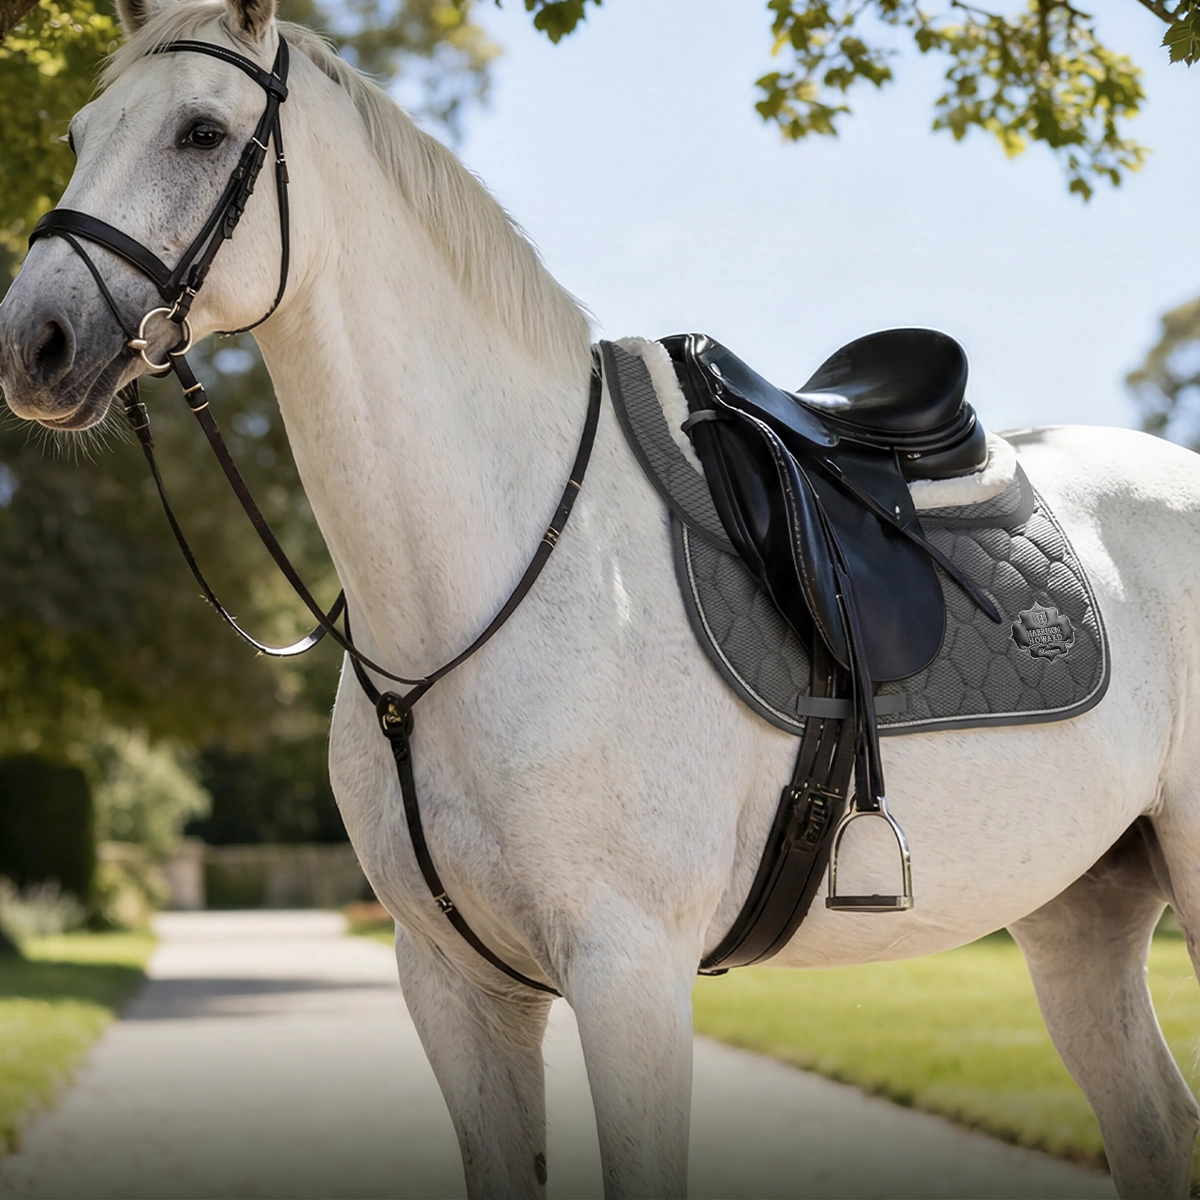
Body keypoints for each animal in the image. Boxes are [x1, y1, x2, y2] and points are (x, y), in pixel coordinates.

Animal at [1, 0, 1199, 1194]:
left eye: (201, 133)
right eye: (75, 135)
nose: (32, 343)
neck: (483, 580)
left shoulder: (630, 975)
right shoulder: (456, 989)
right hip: (1078, 914)